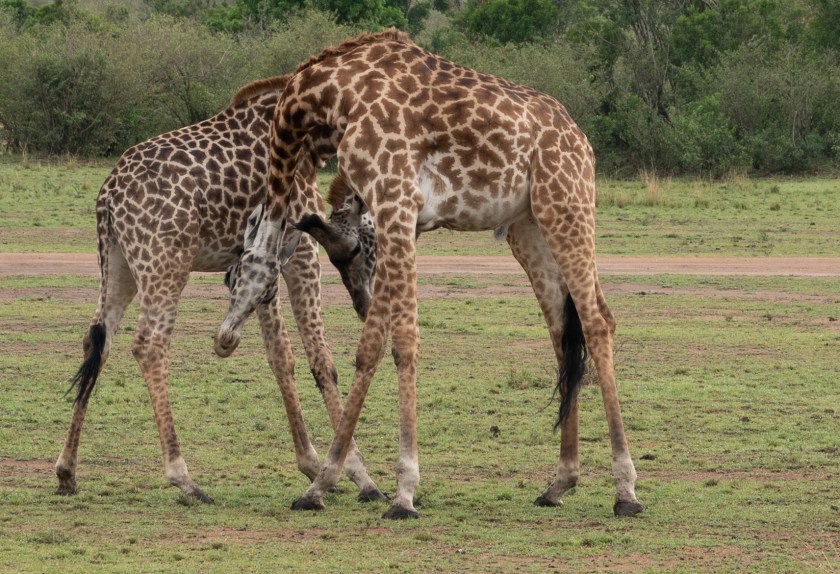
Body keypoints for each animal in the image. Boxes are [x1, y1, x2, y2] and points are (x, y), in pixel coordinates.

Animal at [55, 75, 386, 504]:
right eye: (363, 248)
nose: (365, 304)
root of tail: (108, 197)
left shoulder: (263, 260)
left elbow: (280, 356)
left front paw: (312, 464)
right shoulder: (301, 252)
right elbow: (320, 360)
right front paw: (360, 476)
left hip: (118, 264)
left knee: (97, 340)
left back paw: (66, 472)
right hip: (165, 263)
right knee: (148, 345)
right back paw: (184, 478)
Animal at [215, 30, 644, 519]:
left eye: (235, 279)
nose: (224, 338)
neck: (329, 99)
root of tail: (582, 141)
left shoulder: (395, 201)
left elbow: (402, 342)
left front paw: (403, 492)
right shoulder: (394, 217)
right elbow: (369, 348)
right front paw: (320, 486)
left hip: (566, 205)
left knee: (597, 322)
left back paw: (625, 491)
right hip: (528, 226)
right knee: (561, 330)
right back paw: (559, 483)